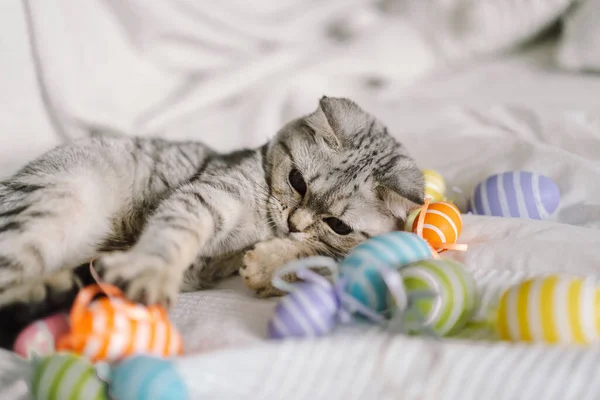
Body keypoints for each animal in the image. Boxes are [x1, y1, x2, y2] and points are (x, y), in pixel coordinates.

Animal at [0, 96, 424, 344]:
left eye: (338, 224)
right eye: (297, 181)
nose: (294, 222)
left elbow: (322, 255)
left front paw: (267, 264)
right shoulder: (208, 196)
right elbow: (174, 235)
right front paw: (151, 271)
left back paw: (59, 287)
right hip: (60, 199)